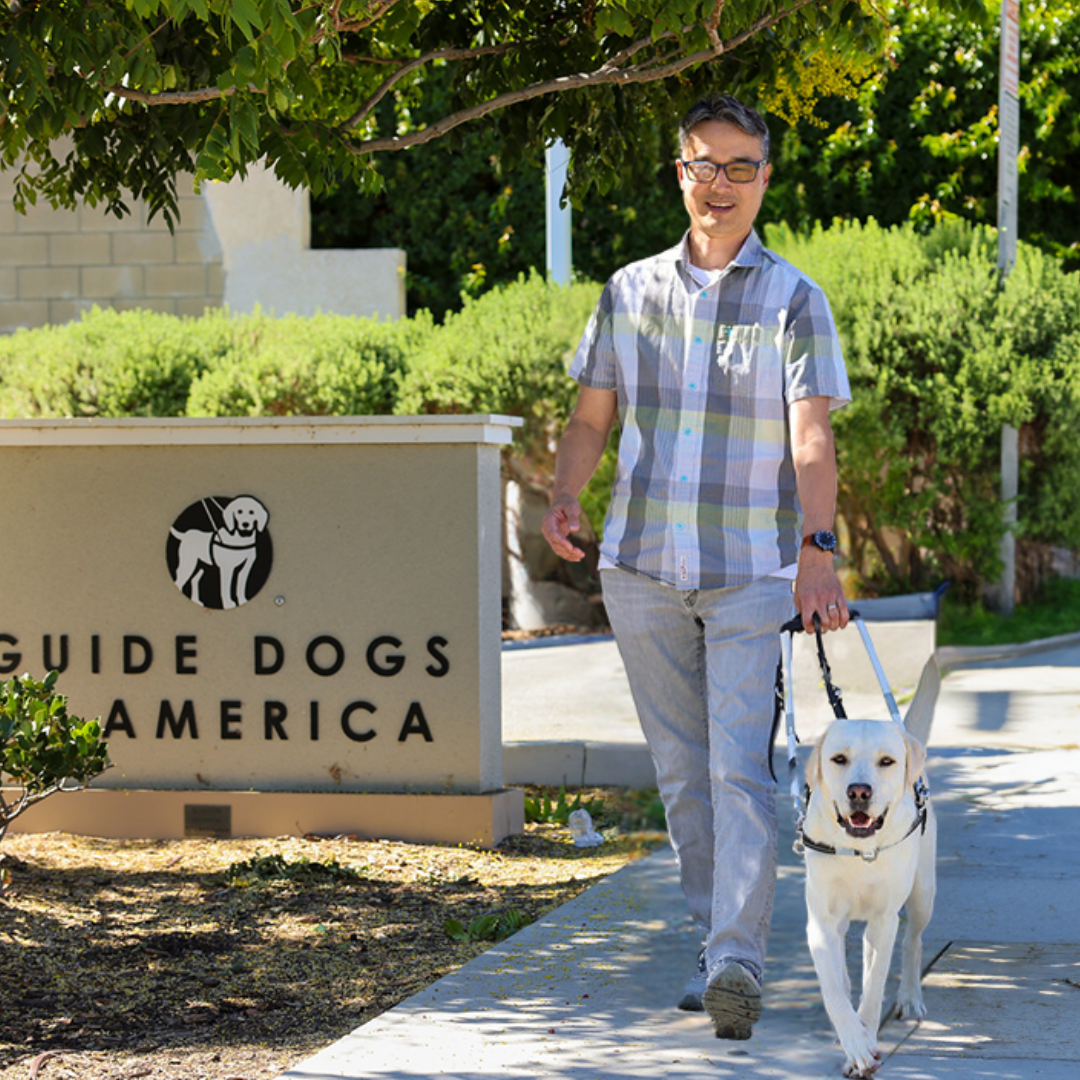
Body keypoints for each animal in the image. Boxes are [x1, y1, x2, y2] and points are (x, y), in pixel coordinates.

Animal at [803, 717, 937, 1080]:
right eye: (839, 759)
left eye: (886, 762)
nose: (859, 791)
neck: (858, 850)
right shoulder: (821, 924)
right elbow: (834, 990)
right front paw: (856, 1043)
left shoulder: (884, 921)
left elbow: (874, 988)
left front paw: (866, 1038)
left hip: (923, 895)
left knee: (912, 941)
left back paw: (909, 998)